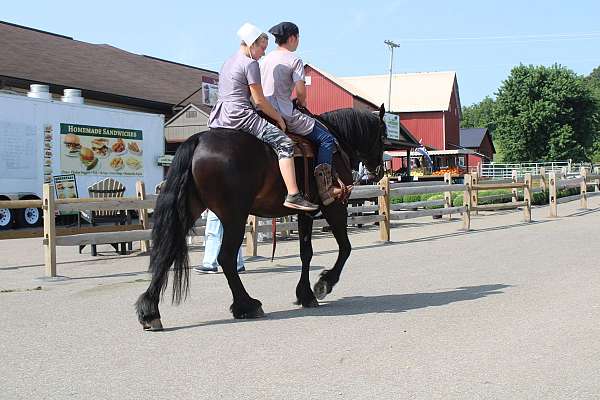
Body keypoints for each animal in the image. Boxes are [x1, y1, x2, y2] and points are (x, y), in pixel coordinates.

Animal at [135, 104, 386, 330]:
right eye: (383, 135)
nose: (379, 171)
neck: (335, 141)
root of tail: (198, 140)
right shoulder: (334, 206)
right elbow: (345, 247)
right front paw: (323, 284)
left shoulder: (305, 213)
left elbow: (306, 253)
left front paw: (305, 294)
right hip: (234, 217)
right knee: (226, 258)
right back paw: (246, 305)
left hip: (189, 211)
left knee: (167, 252)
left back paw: (150, 311)